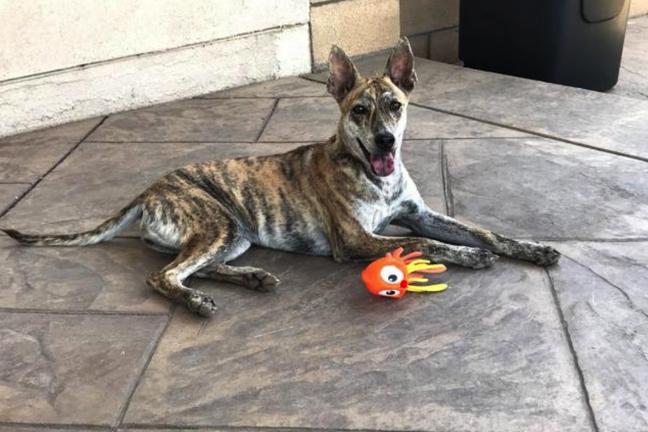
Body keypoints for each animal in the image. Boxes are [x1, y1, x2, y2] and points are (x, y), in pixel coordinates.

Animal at [2, 38, 560, 317]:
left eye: (395, 106)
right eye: (359, 111)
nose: (385, 142)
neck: (372, 175)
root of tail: (149, 189)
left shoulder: (418, 213)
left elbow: (481, 229)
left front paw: (530, 248)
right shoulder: (357, 240)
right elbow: (428, 245)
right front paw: (468, 257)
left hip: (234, 234)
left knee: (194, 267)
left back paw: (250, 278)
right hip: (217, 222)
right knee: (165, 275)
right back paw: (197, 302)